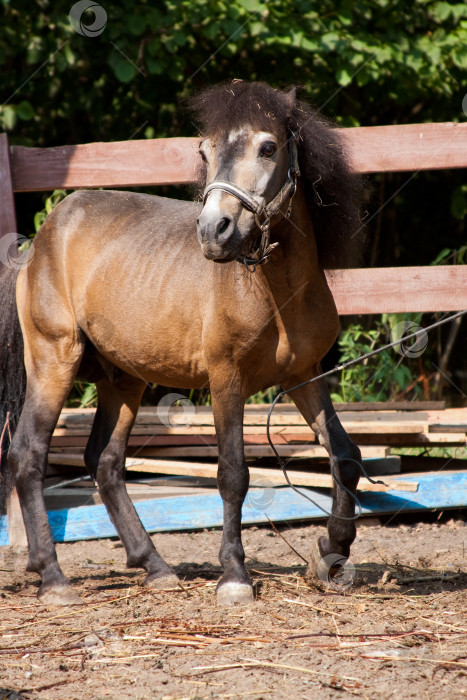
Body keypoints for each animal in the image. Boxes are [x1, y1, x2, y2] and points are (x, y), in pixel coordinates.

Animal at [0, 82, 366, 604]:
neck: (277, 291)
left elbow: (345, 456)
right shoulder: (226, 378)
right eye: (204, 151)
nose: (214, 231)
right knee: (28, 455)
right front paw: (234, 577)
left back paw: (154, 566)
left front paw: (331, 551)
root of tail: (41, 240)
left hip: (123, 380)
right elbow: (233, 474)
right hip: (54, 362)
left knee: (105, 463)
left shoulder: (304, 375)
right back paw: (53, 577)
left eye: (268, 147)